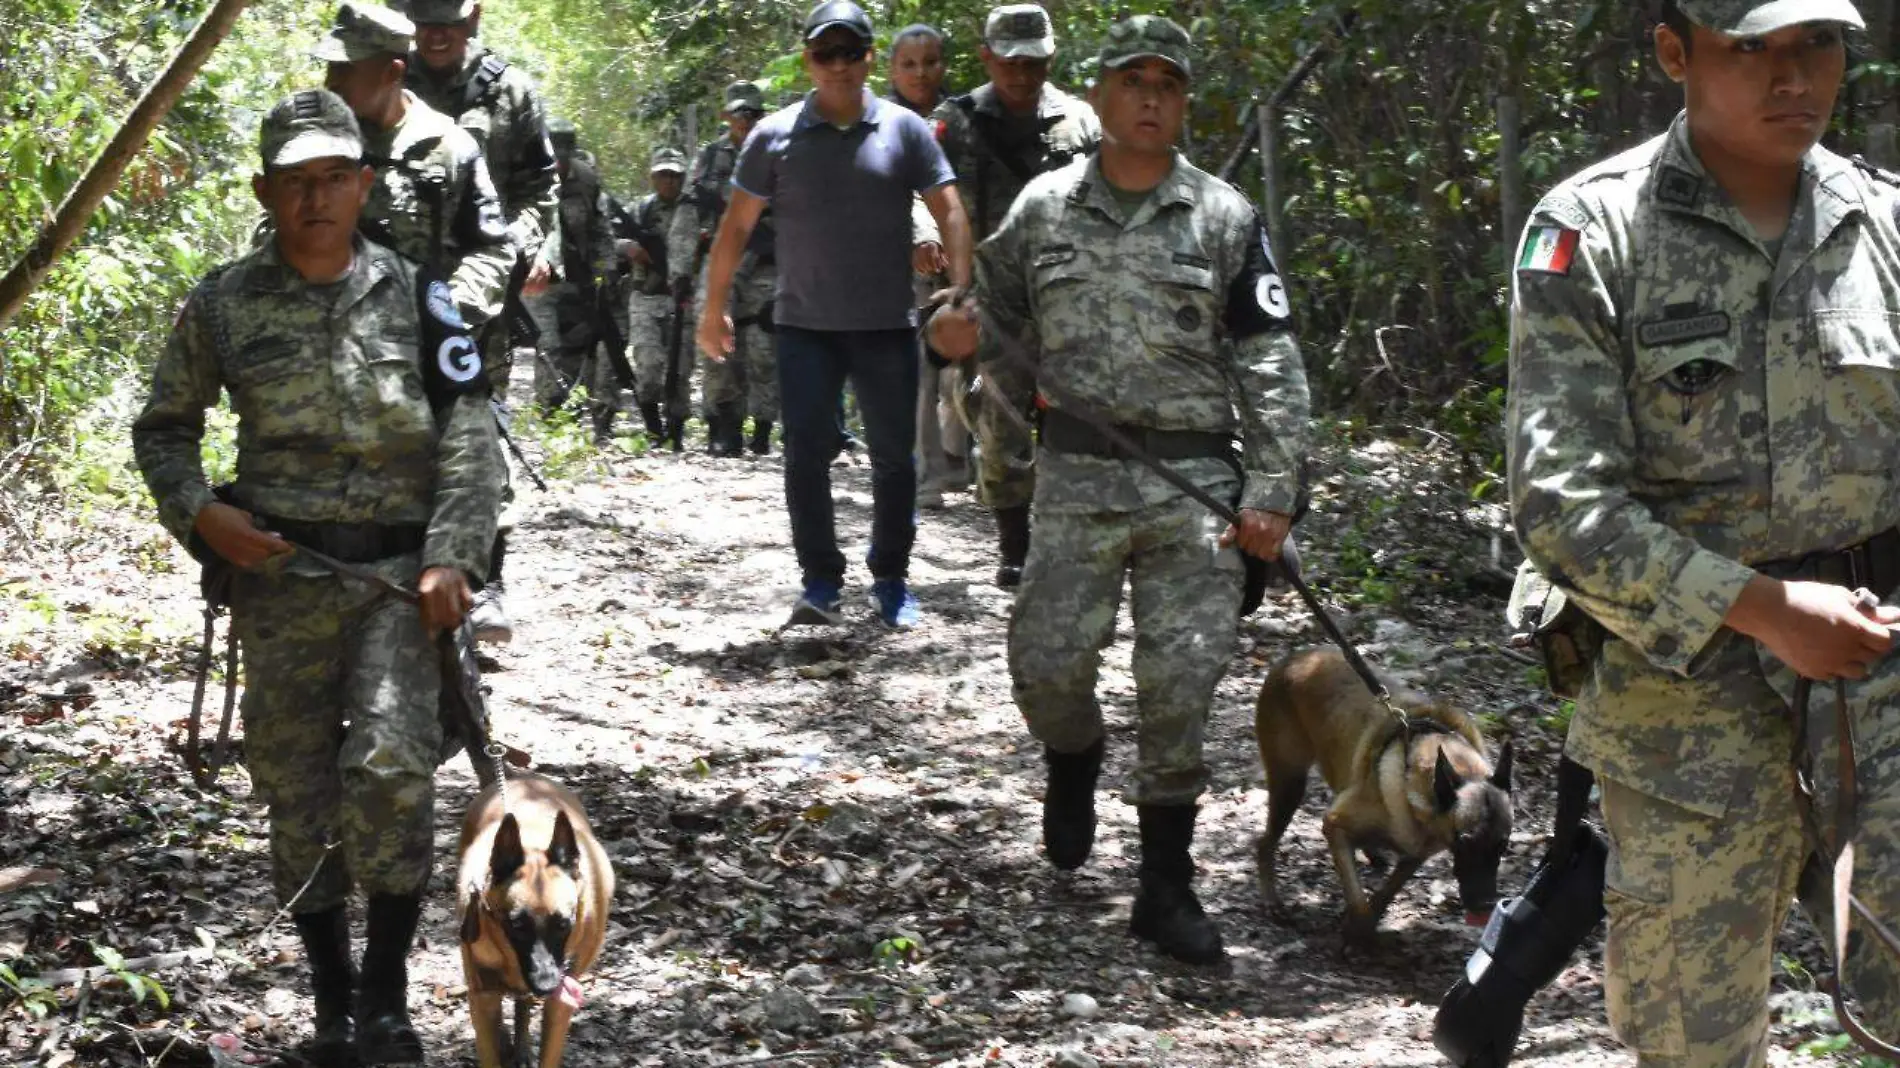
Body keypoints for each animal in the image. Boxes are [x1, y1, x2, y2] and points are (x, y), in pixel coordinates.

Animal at [456, 767, 611, 1064]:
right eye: (516, 925)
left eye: (563, 924)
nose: (546, 984)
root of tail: (521, 776)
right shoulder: (482, 997)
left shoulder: (559, 1004)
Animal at [1246, 646, 1512, 934]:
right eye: (1465, 843)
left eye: (1503, 846)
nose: (1486, 906)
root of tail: (1294, 657)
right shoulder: (1334, 824)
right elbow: (1358, 901)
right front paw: (1359, 931)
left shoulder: (1414, 856)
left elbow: (1386, 893)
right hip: (1289, 785)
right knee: (1264, 844)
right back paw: (1272, 900)